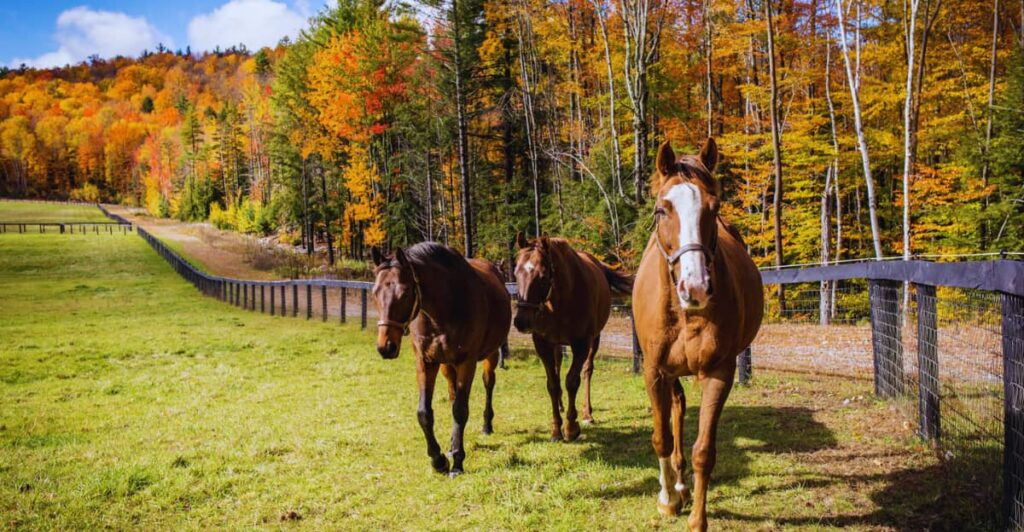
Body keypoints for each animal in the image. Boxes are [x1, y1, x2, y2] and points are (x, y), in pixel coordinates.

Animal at [370, 243, 509, 476]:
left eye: (405, 292)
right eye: (374, 293)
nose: (385, 347)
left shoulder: (467, 362)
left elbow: (460, 411)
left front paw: (458, 462)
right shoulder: (426, 362)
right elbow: (425, 413)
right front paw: (439, 459)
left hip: (490, 355)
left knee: (488, 383)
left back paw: (486, 425)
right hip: (446, 365)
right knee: (453, 395)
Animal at [512, 235, 630, 441]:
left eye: (543, 276)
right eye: (516, 273)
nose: (521, 321)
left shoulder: (581, 344)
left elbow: (572, 381)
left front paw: (571, 427)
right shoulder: (542, 344)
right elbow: (552, 384)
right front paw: (555, 429)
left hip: (595, 340)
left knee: (587, 371)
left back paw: (587, 413)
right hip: (557, 344)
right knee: (558, 366)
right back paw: (560, 404)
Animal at [634, 139, 765, 527]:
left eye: (714, 206)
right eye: (662, 210)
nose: (695, 287)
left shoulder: (720, 372)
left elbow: (703, 451)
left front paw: (697, 519)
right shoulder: (654, 371)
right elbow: (661, 437)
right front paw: (667, 500)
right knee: (676, 410)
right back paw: (675, 487)